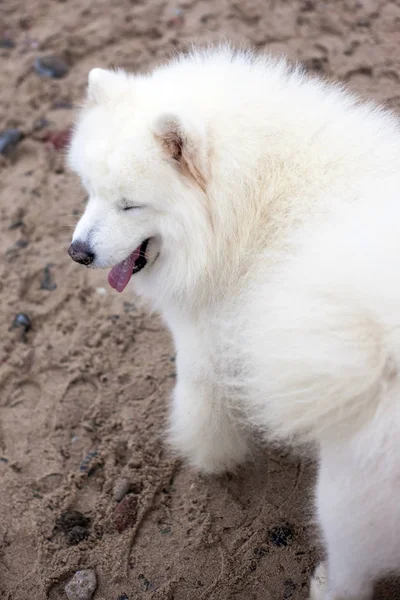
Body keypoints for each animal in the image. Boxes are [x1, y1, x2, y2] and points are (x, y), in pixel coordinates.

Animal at [68, 44, 400, 596]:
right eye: (90, 190)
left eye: (130, 205)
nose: (77, 252)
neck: (251, 200)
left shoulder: (207, 340)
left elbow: (199, 402)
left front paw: (210, 459)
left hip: (344, 492)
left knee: (352, 571)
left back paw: (325, 584)